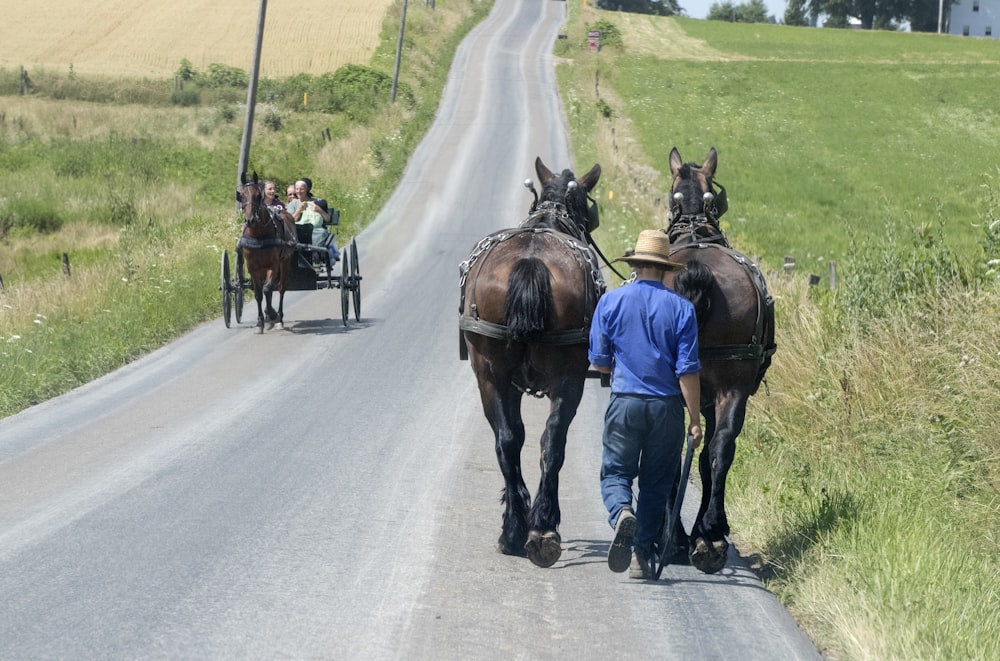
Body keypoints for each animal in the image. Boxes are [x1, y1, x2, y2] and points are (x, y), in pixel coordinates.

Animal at [458, 156, 600, 568]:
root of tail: (531, 262)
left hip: (492, 375)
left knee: (513, 441)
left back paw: (522, 530)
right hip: (565, 378)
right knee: (547, 440)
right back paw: (537, 529)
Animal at [660, 147, 776, 568]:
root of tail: (699, 272)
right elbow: (710, 455)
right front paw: (707, 531)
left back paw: (682, 536)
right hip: (732, 385)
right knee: (722, 447)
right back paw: (707, 532)